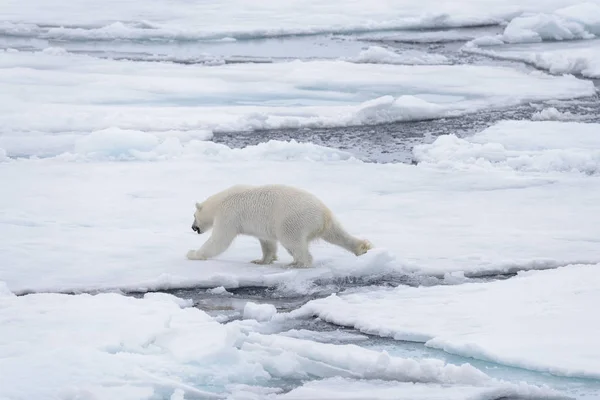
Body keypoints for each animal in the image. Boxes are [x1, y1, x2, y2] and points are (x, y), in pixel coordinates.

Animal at [188, 185, 372, 268]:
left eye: (194, 216)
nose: (192, 227)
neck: (219, 202)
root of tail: (322, 214)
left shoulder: (229, 215)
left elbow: (220, 239)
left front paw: (192, 254)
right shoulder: (262, 226)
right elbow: (267, 242)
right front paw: (260, 260)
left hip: (292, 221)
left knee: (293, 243)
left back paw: (297, 263)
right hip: (325, 222)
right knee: (338, 234)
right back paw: (362, 248)